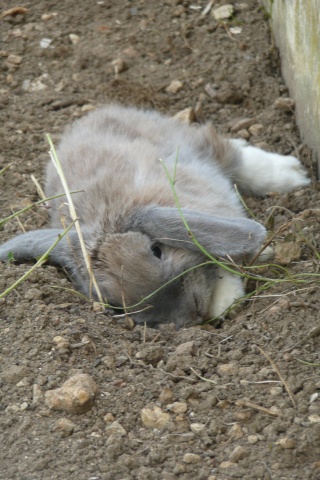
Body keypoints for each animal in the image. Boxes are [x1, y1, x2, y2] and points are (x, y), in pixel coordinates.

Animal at [0, 104, 312, 328]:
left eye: (157, 250)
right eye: (117, 304)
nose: (194, 315)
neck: (107, 220)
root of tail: (98, 113)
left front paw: (225, 300)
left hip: (191, 146)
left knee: (232, 155)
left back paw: (293, 175)